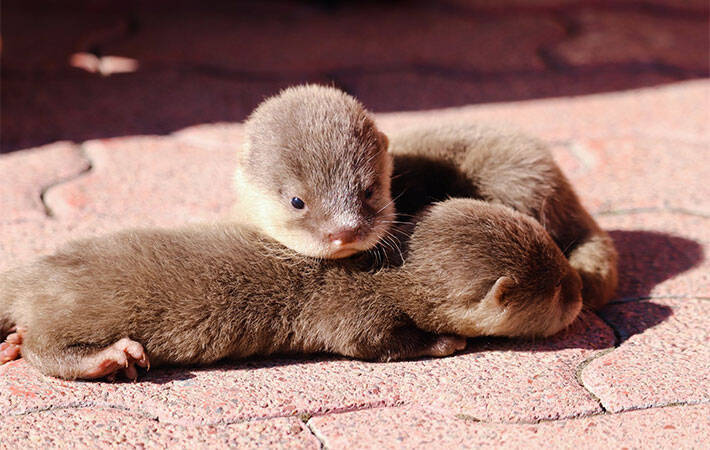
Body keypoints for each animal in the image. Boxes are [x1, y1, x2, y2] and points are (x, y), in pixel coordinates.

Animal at [0, 200, 580, 380]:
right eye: (555, 291)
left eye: (558, 254)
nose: (579, 289)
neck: (387, 274)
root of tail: (31, 273)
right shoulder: (358, 314)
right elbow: (377, 345)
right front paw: (448, 342)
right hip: (67, 311)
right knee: (43, 350)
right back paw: (111, 357)